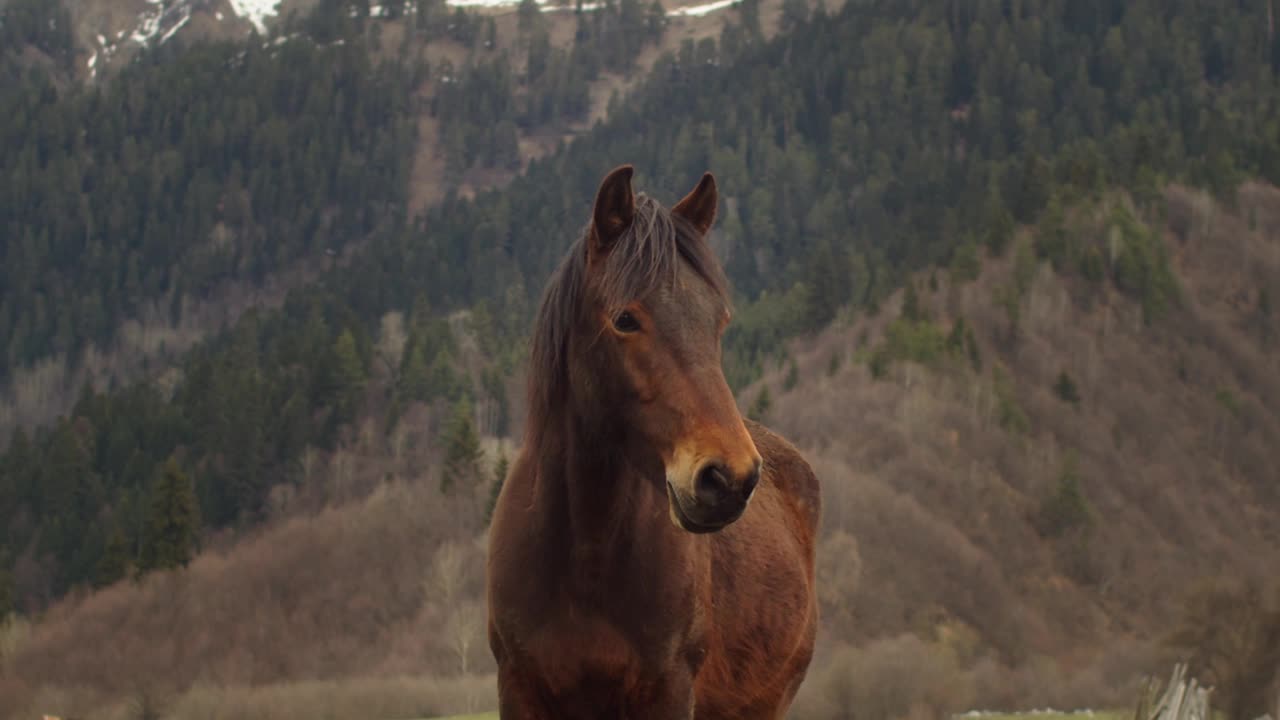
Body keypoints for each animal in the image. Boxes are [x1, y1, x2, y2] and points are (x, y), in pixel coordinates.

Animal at [488, 165, 819, 712]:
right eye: (626, 319)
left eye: (718, 320)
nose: (728, 478)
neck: (584, 559)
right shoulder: (518, 689)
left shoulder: (669, 690)